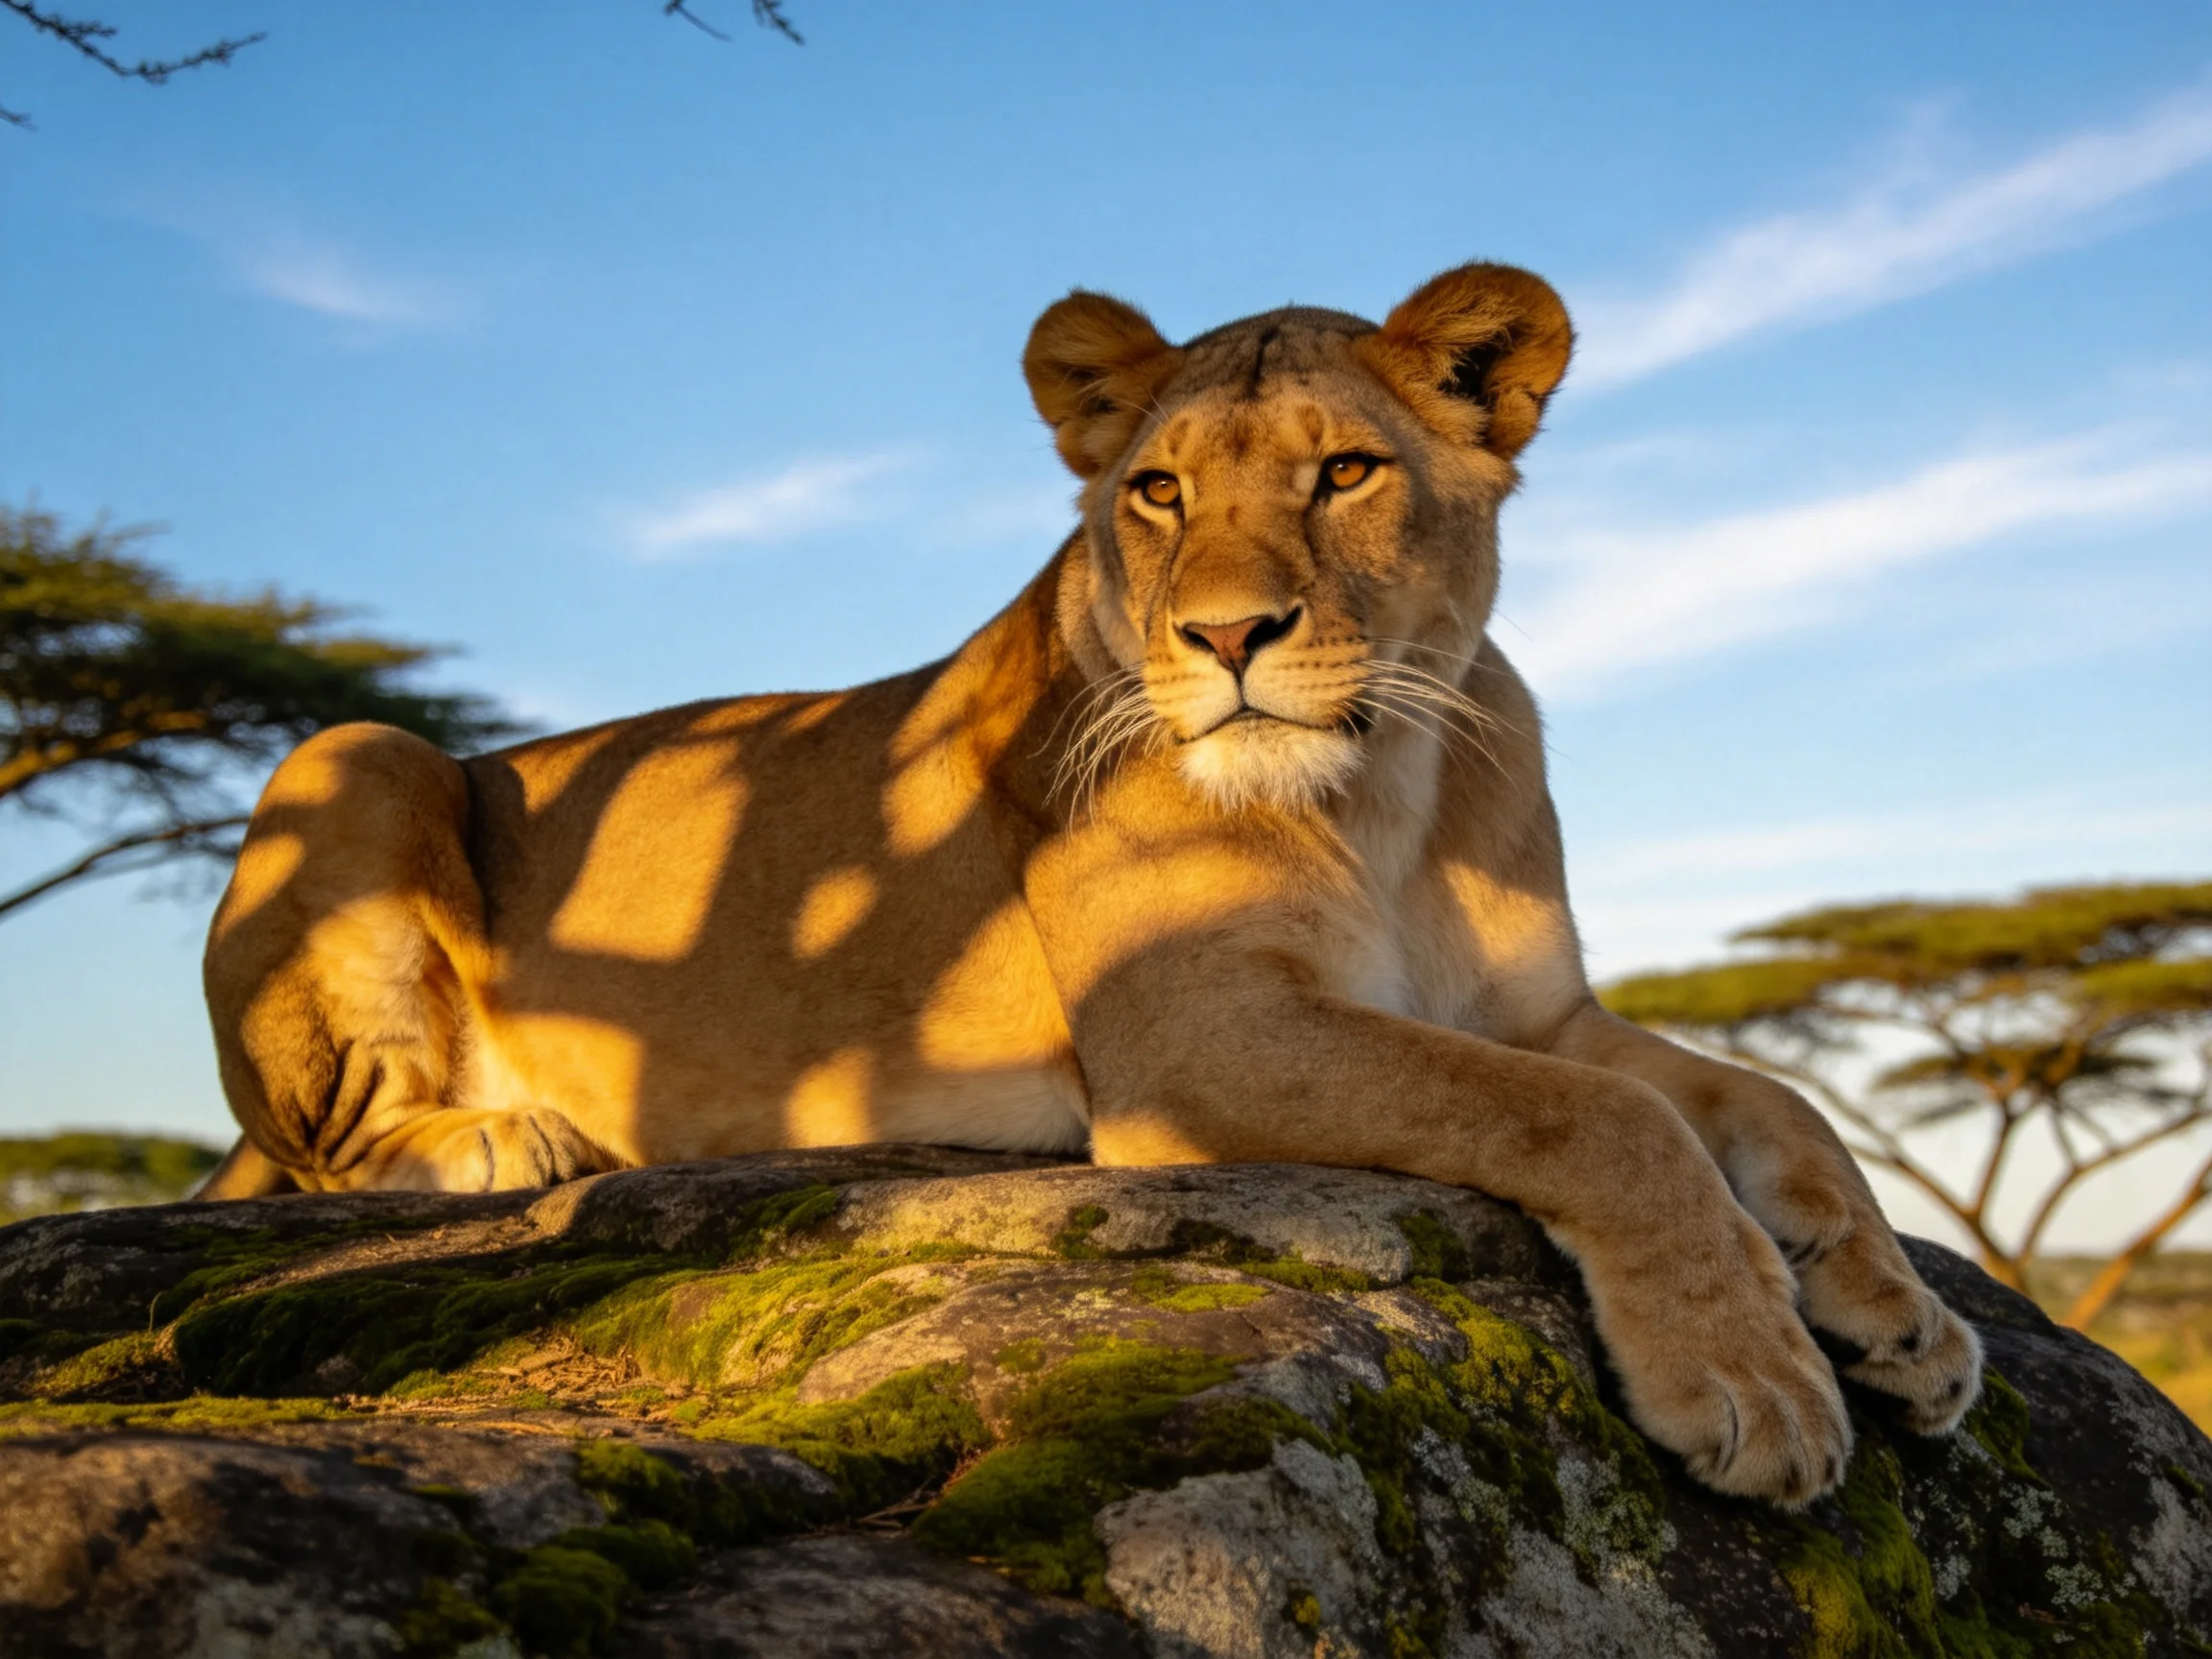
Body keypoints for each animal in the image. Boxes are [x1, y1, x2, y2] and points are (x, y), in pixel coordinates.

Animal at [199, 262, 1981, 1505]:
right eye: (1158, 489)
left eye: (1345, 473)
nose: (1226, 636)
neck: (1388, 787)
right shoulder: (1194, 1038)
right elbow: (1603, 1124)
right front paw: (1754, 1380)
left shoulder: (1536, 1009)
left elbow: (1760, 1104)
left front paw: (1900, 1320)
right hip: (356, 746)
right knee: (327, 1145)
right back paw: (503, 1132)